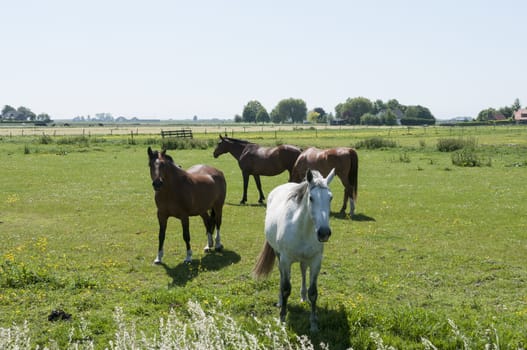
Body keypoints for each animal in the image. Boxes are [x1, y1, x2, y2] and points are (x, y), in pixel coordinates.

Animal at [254, 168, 336, 332]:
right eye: (311, 198)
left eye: (330, 198)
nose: (324, 233)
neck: (303, 229)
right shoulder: (286, 260)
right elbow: (286, 288)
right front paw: (282, 319)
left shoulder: (316, 261)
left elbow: (313, 292)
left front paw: (314, 324)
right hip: (279, 256)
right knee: (282, 275)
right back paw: (280, 301)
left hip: (305, 259)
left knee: (303, 270)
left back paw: (303, 296)